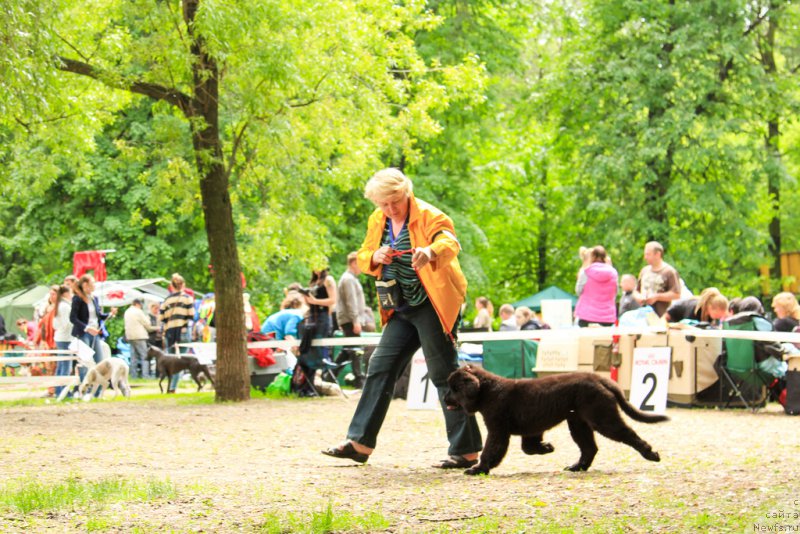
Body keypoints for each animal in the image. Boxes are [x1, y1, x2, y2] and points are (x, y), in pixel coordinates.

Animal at [446, 366, 664, 476]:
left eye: (454, 388)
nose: (444, 398)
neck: (488, 391)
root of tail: (600, 379)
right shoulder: (530, 429)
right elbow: (528, 447)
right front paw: (547, 448)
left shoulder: (497, 430)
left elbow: (490, 451)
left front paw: (478, 469)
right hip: (578, 423)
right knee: (590, 448)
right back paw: (577, 467)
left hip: (602, 418)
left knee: (629, 435)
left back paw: (651, 454)